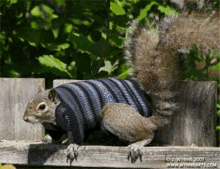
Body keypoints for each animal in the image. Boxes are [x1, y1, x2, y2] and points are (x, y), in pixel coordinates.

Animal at [21, 8, 218, 164]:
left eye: (42, 106)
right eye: (28, 102)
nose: (25, 119)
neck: (53, 118)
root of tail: (146, 120)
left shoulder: (73, 116)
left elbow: (77, 135)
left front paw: (72, 146)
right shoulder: (55, 127)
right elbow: (57, 136)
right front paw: (50, 141)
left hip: (113, 117)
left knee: (148, 134)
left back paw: (139, 143)